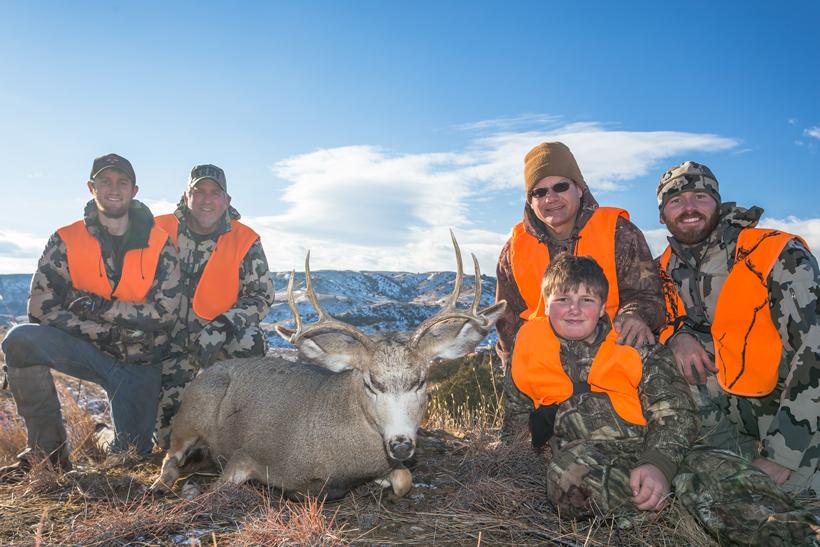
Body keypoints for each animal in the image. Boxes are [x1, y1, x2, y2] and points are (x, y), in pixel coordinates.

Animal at [150, 232, 506, 500]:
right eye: (370, 382)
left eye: (420, 381)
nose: (402, 443)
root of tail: (205, 372)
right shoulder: (245, 455)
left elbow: (403, 479)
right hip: (189, 416)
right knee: (169, 458)